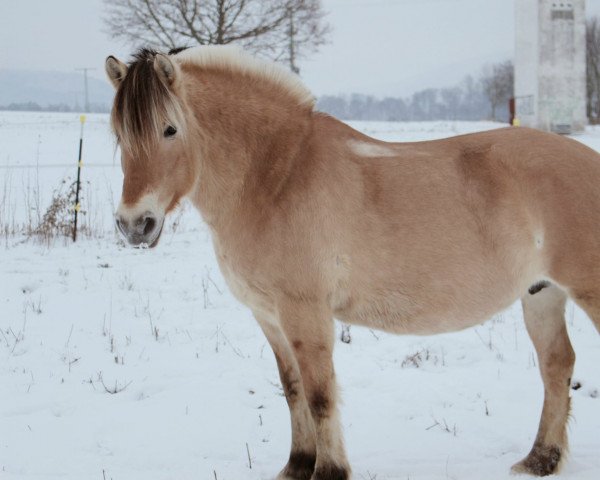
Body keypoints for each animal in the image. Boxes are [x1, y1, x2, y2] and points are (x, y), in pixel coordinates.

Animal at [108, 46, 600, 480]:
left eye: (170, 129)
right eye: (120, 135)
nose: (135, 225)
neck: (276, 177)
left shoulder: (306, 313)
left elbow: (320, 395)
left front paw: (329, 471)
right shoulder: (269, 316)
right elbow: (292, 391)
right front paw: (297, 466)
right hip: (541, 294)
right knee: (557, 364)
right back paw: (540, 461)